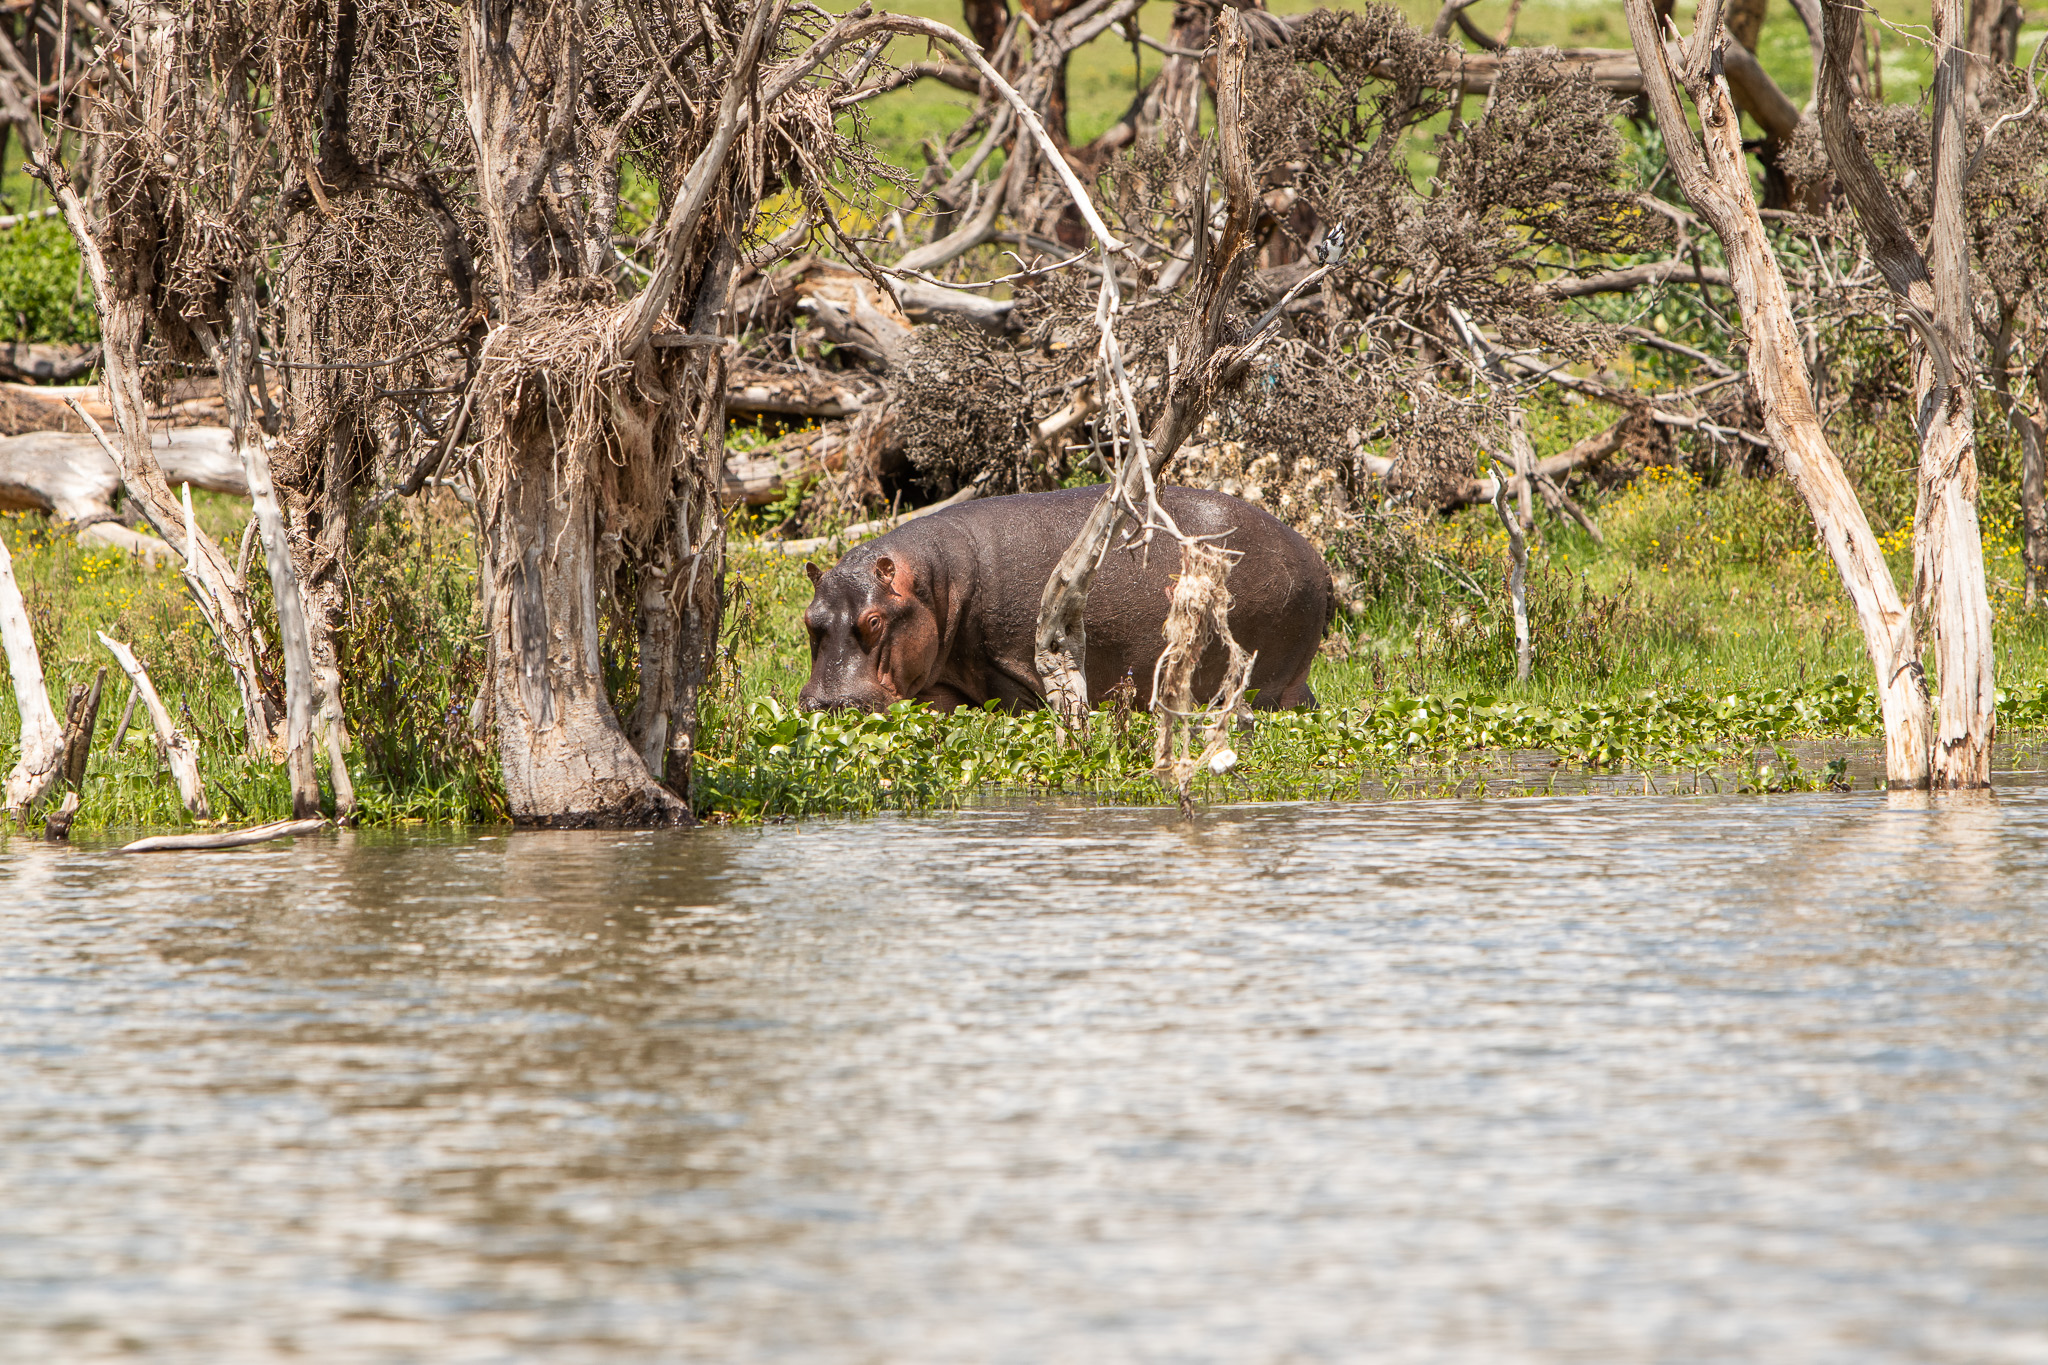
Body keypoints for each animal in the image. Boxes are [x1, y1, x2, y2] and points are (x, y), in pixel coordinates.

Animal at [797, 485, 1333, 713]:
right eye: (808, 619)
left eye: (873, 621)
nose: (826, 703)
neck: (935, 584)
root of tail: (1316, 556)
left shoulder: (1015, 667)